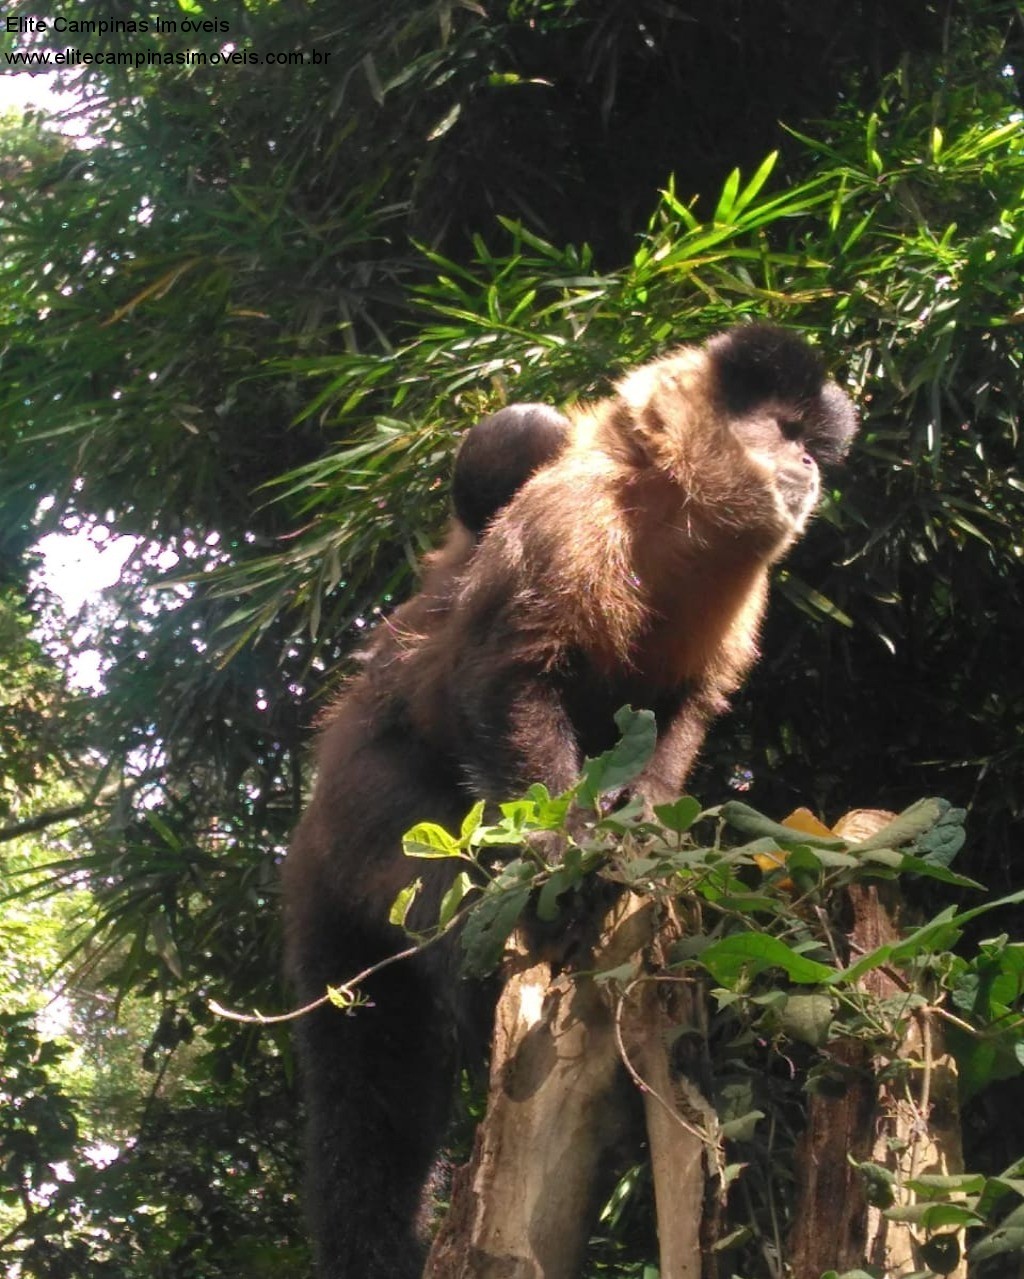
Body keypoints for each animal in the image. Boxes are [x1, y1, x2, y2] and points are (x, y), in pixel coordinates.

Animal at [279, 324, 853, 1273]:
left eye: (813, 437)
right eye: (785, 429)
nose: (810, 461)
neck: (668, 516)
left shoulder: (746, 588)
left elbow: (683, 712)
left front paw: (642, 829)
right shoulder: (569, 513)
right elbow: (501, 675)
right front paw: (570, 853)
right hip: (360, 798)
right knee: (434, 875)